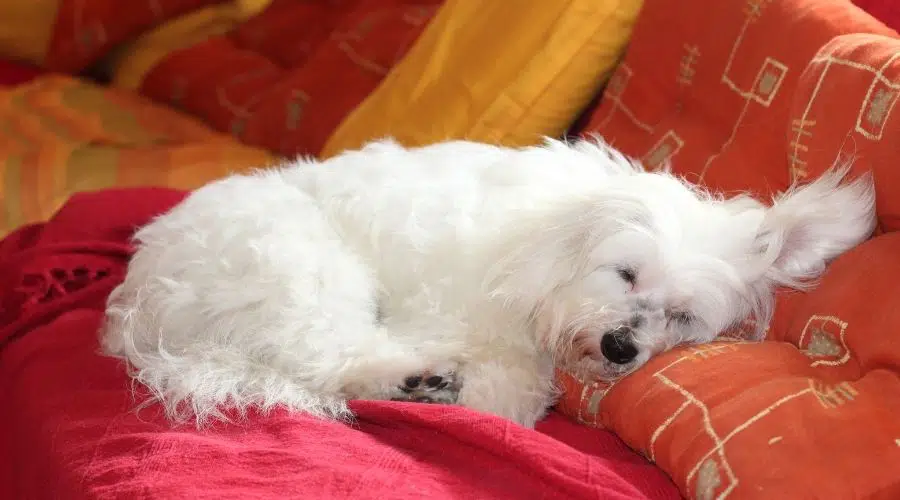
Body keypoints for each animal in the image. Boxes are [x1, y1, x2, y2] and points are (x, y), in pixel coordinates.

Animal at [102, 139, 876, 428]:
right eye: (626, 273)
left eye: (683, 317)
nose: (622, 347)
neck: (545, 248)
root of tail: (142, 312)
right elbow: (509, 390)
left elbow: (514, 391)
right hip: (304, 267)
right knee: (329, 357)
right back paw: (417, 378)